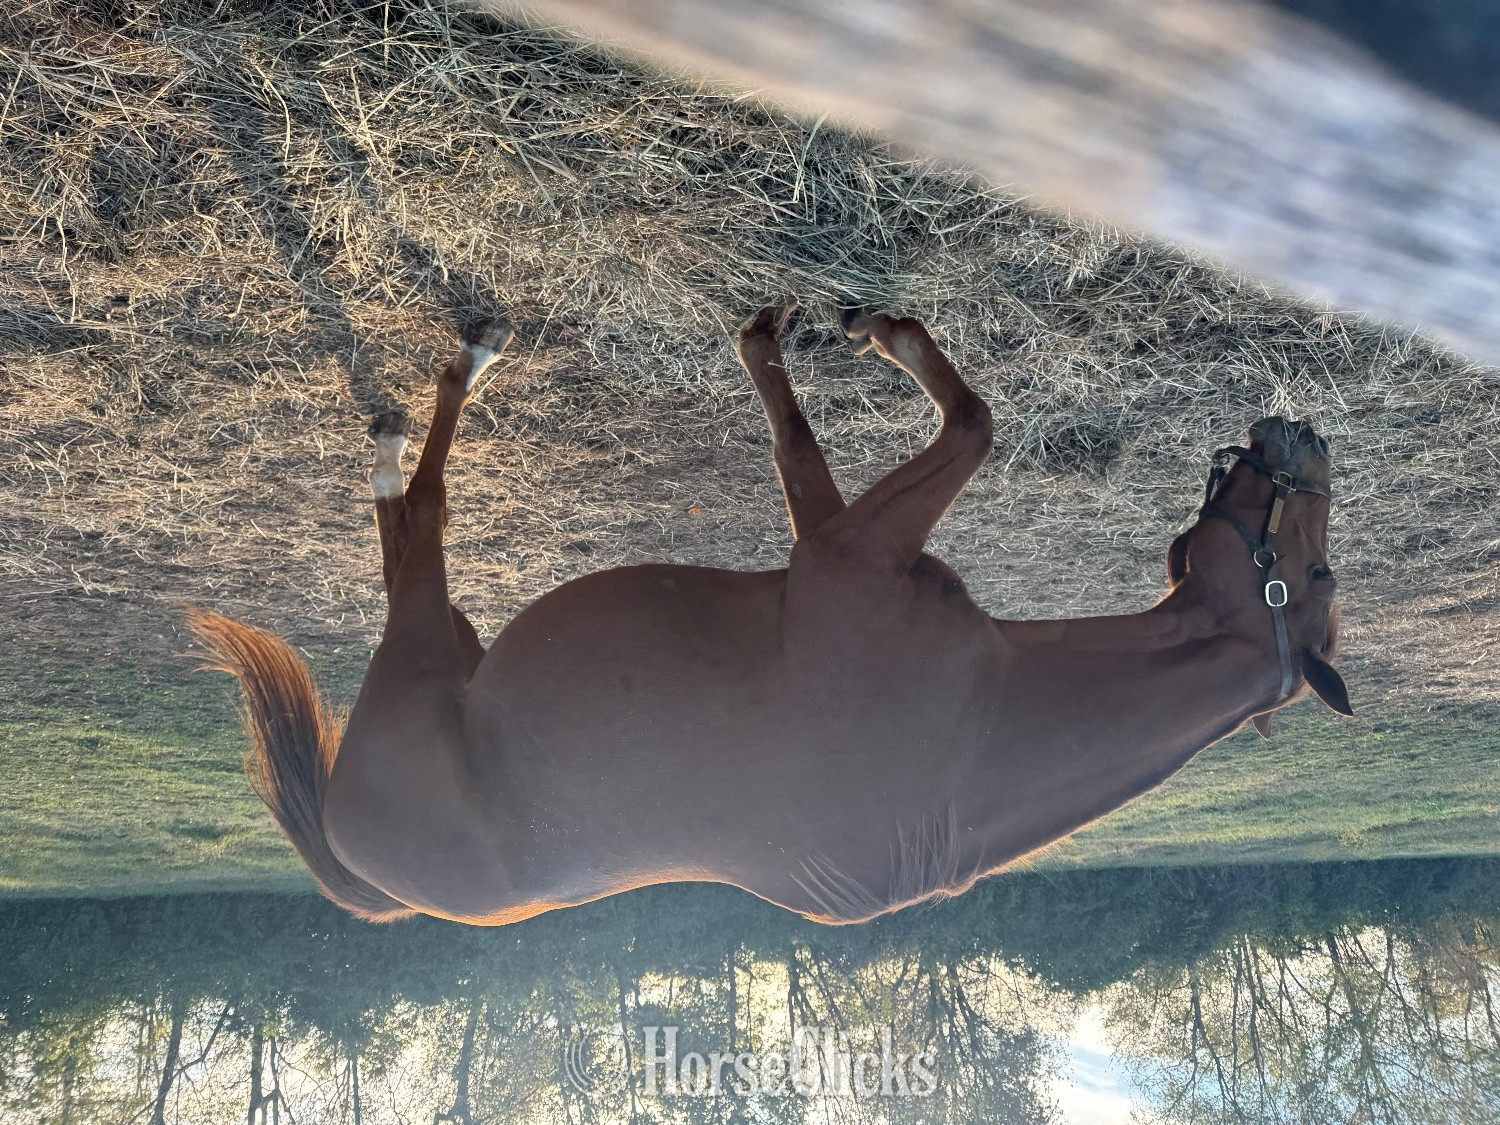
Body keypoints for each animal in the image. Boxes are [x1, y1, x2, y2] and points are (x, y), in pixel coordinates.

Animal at [191, 305, 1349, 926]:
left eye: (1315, 577)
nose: (1307, 436)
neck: (977, 727)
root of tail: (361, 865)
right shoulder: (835, 552)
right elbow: (832, 440)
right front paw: (791, 343)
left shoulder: (844, 560)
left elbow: (975, 418)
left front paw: (878, 336)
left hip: (429, 645)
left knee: (414, 525)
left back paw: (448, 385)